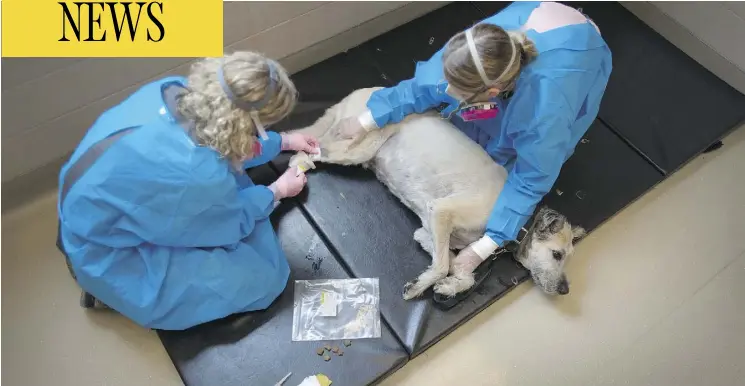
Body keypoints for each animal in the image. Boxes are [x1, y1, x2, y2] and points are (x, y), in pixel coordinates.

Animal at [288, 87, 584, 298]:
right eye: (557, 255)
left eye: (569, 257)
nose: (565, 290)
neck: (518, 222)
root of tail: (362, 91)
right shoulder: (442, 211)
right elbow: (442, 266)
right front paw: (419, 288)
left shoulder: (427, 230)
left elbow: (452, 265)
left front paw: (449, 285)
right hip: (354, 147)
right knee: (307, 152)